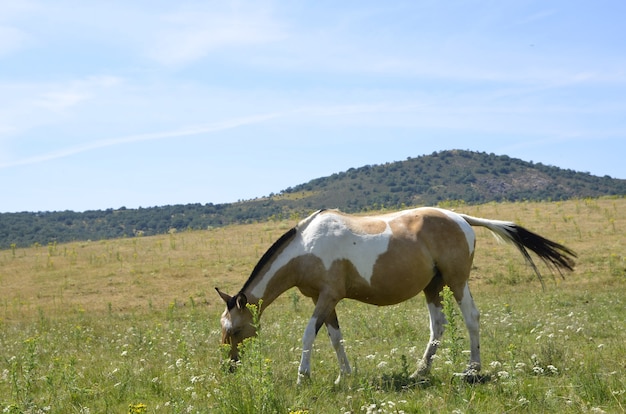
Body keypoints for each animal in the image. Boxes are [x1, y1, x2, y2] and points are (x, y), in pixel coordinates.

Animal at [216, 207, 576, 384]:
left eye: (235, 330)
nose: (230, 368)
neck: (308, 246)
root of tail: (461, 218)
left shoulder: (326, 298)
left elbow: (308, 335)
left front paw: (303, 376)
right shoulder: (325, 301)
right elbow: (335, 338)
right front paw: (344, 376)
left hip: (457, 282)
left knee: (471, 318)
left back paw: (472, 371)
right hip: (433, 287)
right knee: (438, 327)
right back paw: (420, 372)